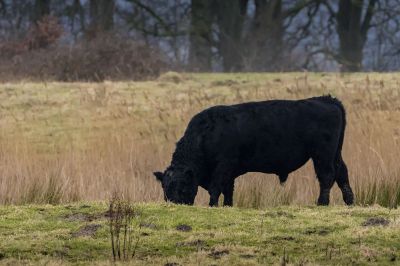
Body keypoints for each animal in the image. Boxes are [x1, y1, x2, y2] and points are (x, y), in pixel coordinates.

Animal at [153, 94, 354, 207]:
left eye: (182, 186)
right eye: (164, 187)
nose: (175, 204)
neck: (205, 134)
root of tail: (326, 99)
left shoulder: (223, 165)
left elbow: (216, 189)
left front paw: (213, 206)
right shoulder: (229, 172)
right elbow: (228, 190)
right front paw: (227, 206)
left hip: (322, 154)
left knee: (327, 176)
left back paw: (322, 203)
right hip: (336, 153)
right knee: (342, 173)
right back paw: (350, 201)